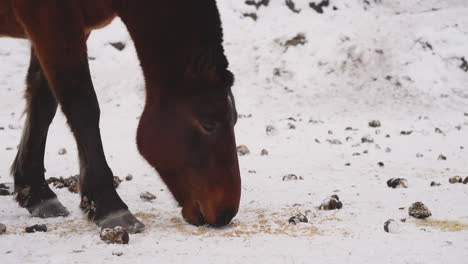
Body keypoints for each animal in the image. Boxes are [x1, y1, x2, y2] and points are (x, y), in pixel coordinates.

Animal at [0, 0, 241, 232]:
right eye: (208, 125)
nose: (226, 213)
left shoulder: (66, 30)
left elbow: (43, 102)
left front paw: (36, 192)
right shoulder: (52, 20)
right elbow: (82, 107)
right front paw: (109, 205)